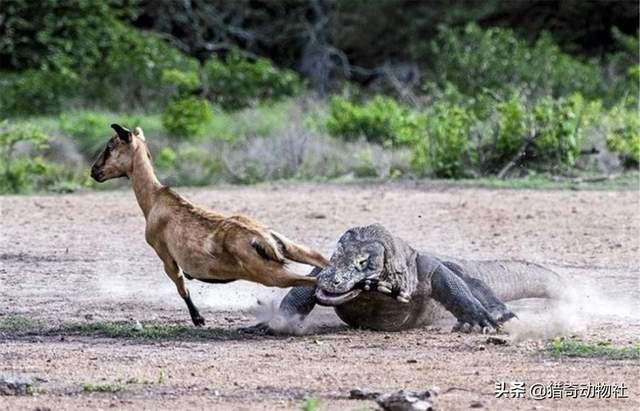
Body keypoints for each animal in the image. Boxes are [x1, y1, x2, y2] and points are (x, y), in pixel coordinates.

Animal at [90, 124, 328, 326]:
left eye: (110, 146)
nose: (94, 171)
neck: (155, 200)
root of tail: (262, 238)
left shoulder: (166, 256)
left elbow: (182, 287)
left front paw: (198, 319)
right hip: (289, 247)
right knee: (321, 261)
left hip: (270, 275)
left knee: (315, 281)